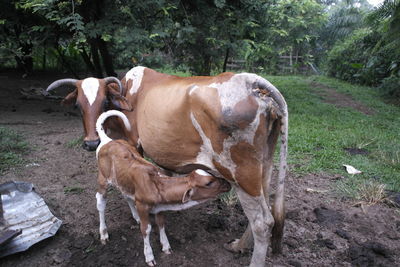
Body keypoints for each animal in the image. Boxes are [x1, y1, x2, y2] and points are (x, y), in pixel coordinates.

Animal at [47, 67, 288, 267]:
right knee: (265, 211)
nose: (91, 143)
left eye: (105, 102)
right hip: (263, 166)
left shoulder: (135, 144)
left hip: (240, 172)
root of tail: (251, 81)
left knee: (263, 222)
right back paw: (239, 246)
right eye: (78, 105)